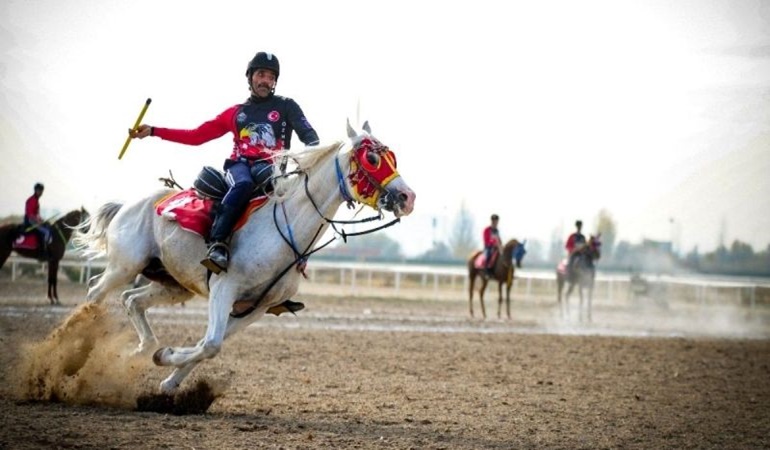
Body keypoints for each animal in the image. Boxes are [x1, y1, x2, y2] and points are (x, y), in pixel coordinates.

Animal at [75, 121, 414, 392]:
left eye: (392, 157)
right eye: (372, 158)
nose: (407, 197)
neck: (282, 232)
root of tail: (127, 205)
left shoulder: (254, 308)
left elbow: (210, 345)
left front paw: (168, 377)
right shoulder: (224, 289)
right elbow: (211, 344)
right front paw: (167, 357)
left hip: (172, 284)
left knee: (132, 300)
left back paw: (142, 349)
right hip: (124, 266)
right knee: (95, 293)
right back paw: (77, 346)